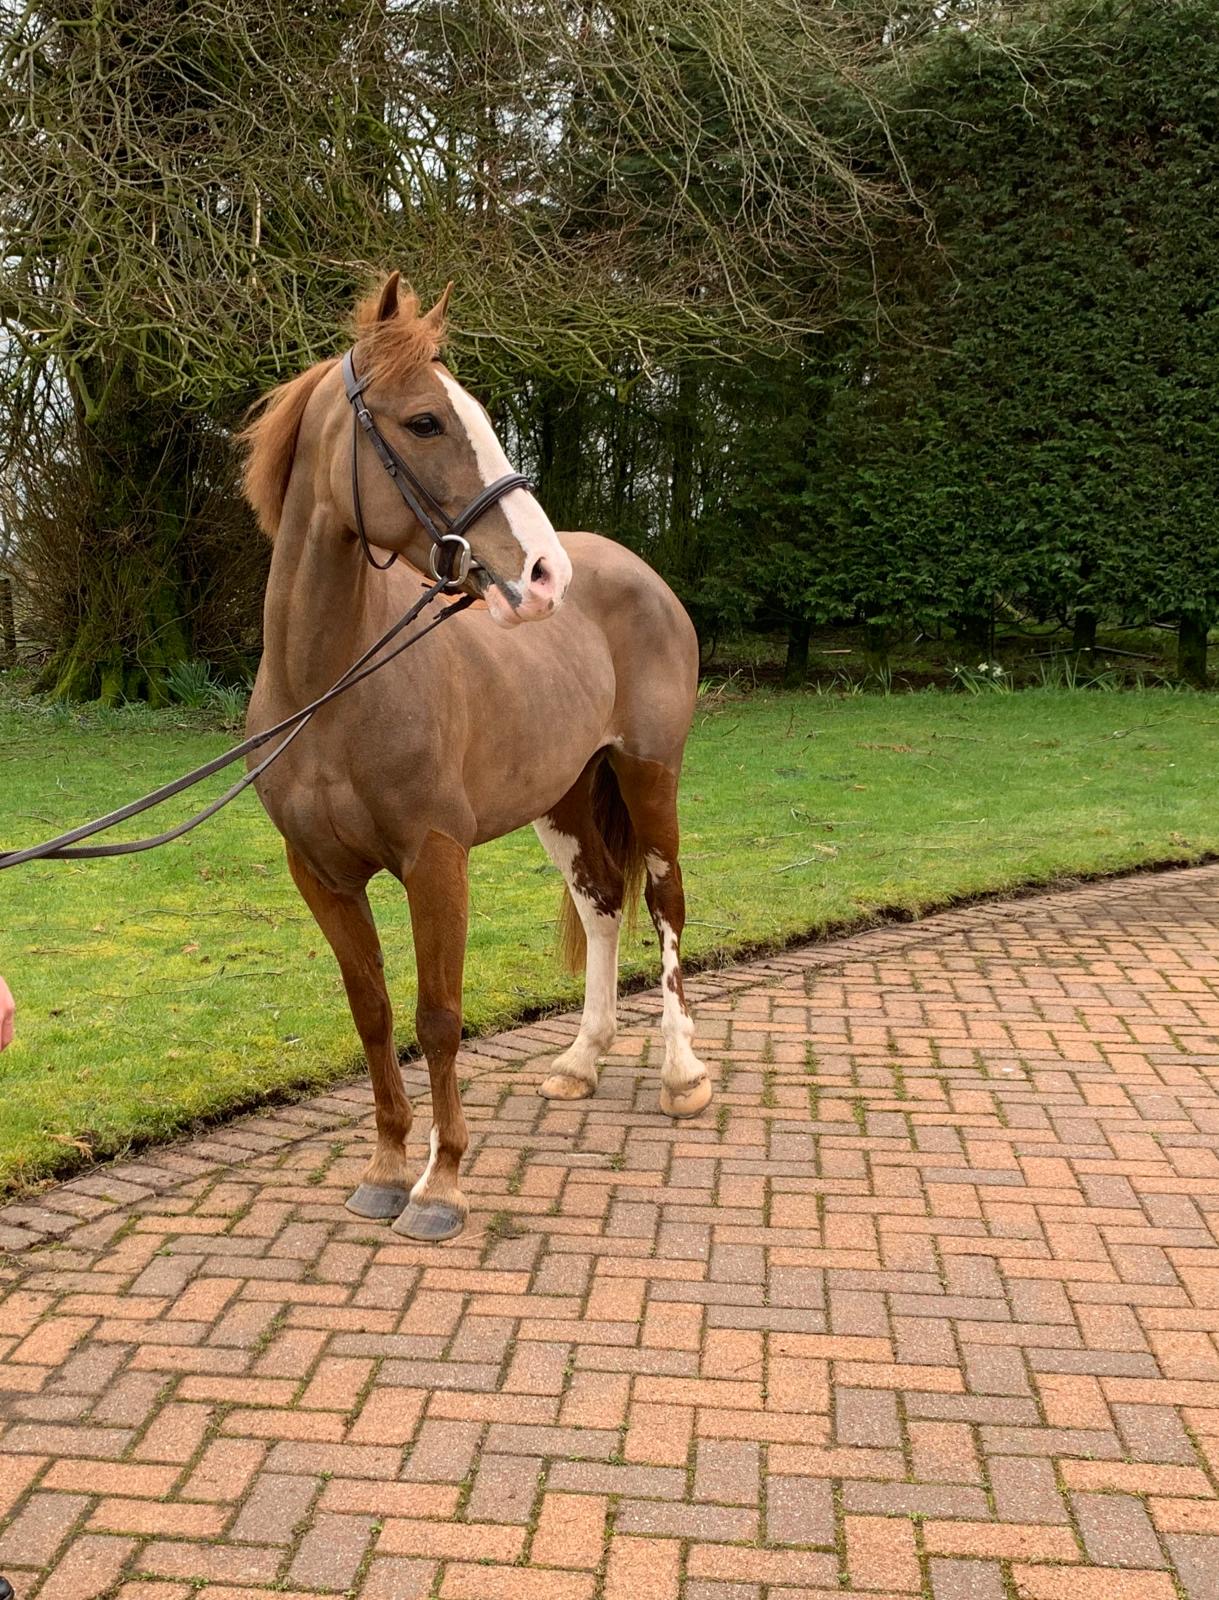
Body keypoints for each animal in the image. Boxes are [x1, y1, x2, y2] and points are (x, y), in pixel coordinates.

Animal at [240, 273, 712, 1242]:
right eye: (424, 421)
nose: (541, 574)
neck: (330, 686)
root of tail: (634, 571)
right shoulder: (320, 874)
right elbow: (374, 1013)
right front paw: (386, 1167)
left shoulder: (435, 860)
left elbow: (439, 1017)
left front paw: (441, 1183)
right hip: (563, 800)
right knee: (602, 906)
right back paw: (580, 1060)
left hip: (648, 777)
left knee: (665, 902)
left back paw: (681, 1073)